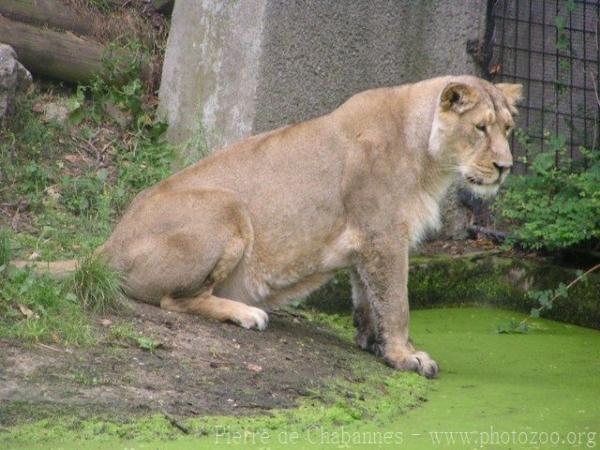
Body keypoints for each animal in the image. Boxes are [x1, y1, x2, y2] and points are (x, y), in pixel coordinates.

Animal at [32, 74, 524, 376]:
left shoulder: (367, 243)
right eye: (480, 128)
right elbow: (397, 301)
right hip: (227, 207)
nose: (505, 167)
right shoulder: (383, 234)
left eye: (508, 130)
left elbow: (368, 297)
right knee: (175, 300)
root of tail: (107, 245)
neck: (428, 158)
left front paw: (373, 342)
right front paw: (406, 356)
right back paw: (247, 313)